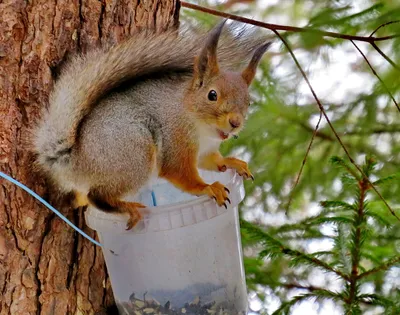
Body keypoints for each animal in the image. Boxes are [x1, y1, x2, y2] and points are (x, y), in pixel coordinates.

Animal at [33, 21, 272, 231]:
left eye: (248, 101)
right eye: (212, 95)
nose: (235, 122)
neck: (203, 129)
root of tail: (75, 161)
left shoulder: (205, 151)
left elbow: (212, 161)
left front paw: (232, 162)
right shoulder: (176, 140)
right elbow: (180, 173)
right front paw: (208, 187)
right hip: (135, 154)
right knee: (97, 196)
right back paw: (128, 208)